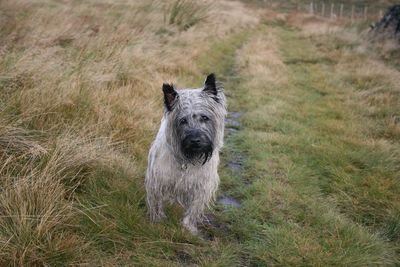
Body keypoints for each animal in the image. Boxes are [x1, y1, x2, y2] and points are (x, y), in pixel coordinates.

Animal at [146, 73, 228, 234]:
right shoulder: (158, 179)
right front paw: (157, 220)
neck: (188, 159)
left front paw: (187, 227)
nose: (195, 140)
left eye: (204, 118)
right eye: (183, 120)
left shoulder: (201, 185)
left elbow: (194, 208)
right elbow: (157, 201)